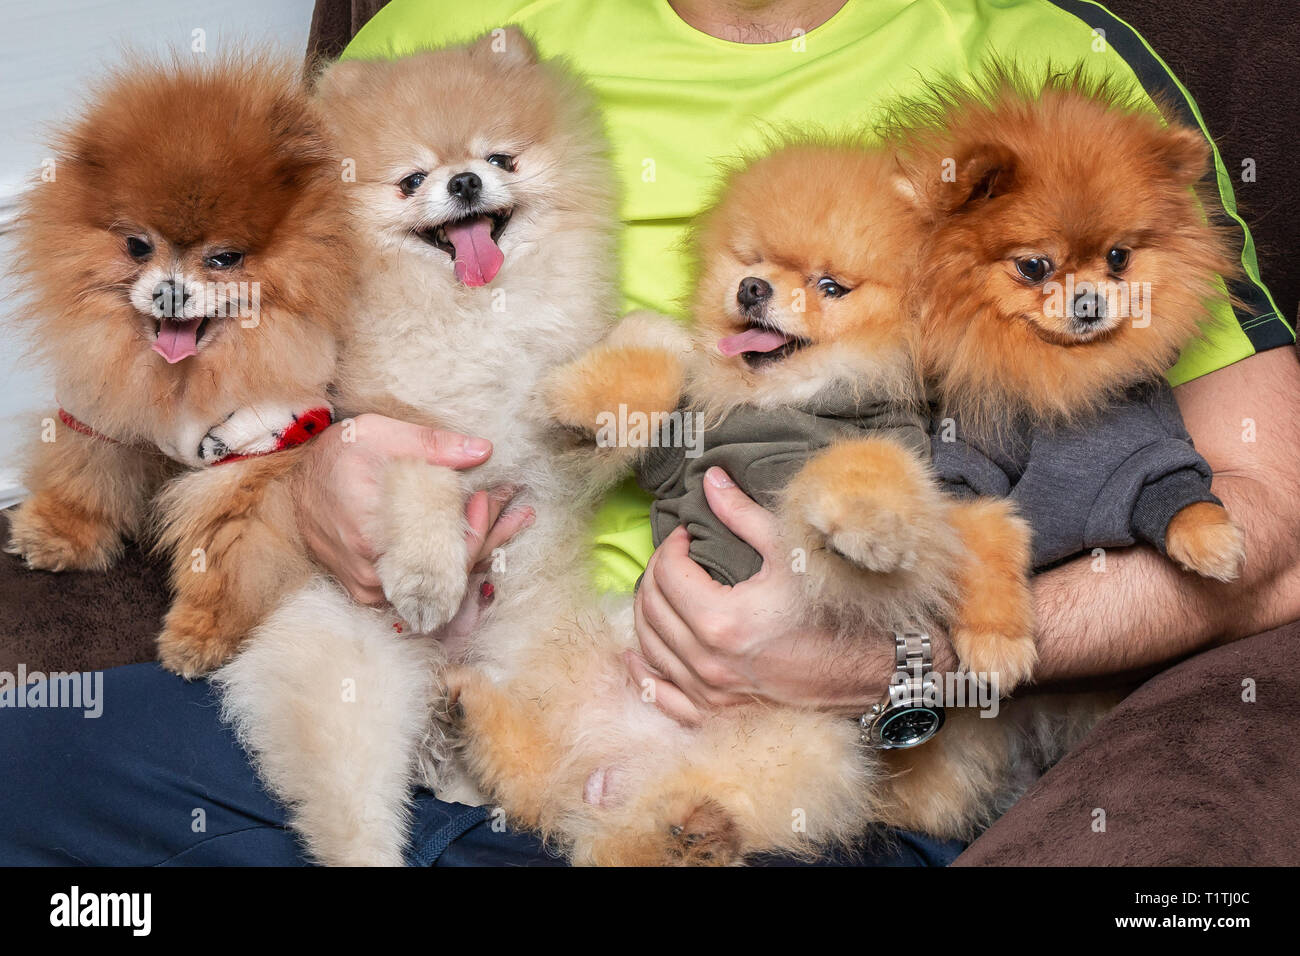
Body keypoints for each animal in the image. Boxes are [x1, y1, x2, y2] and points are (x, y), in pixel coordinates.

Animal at [6, 55, 356, 676]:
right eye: (137, 246)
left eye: (225, 259)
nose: (171, 291)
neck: (179, 384)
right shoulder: (102, 409)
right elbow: (85, 471)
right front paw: (61, 532)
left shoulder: (252, 449)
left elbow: (229, 550)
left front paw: (203, 632)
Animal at [214, 29, 624, 868]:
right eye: (410, 181)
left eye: (500, 159)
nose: (464, 181)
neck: (474, 315)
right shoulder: (395, 422)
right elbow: (428, 483)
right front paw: (429, 579)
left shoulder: (551, 444)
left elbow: (584, 405)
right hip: (355, 684)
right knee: (355, 814)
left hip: (546, 682)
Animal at [441, 141, 1050, 868]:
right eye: (751, 261)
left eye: (830, 287)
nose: (752, 289)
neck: (776, 402)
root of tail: (606, 768)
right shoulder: (676, 445)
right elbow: (657, 351)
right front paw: (576, 395)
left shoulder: (904, 504)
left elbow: (897, 482)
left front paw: (989, 635)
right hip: (577, 676)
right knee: (540, 786)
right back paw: (468, 713)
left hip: (794, 755)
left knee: (653, 827)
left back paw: (690, 832)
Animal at [889, 67, 1242, 580]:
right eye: (1034, 266)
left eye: (1118, 257)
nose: (1089, 302)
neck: (1058, 372)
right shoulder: (965, 459)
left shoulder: (1143, 454)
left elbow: (1178, 491)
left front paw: (1213, 538)